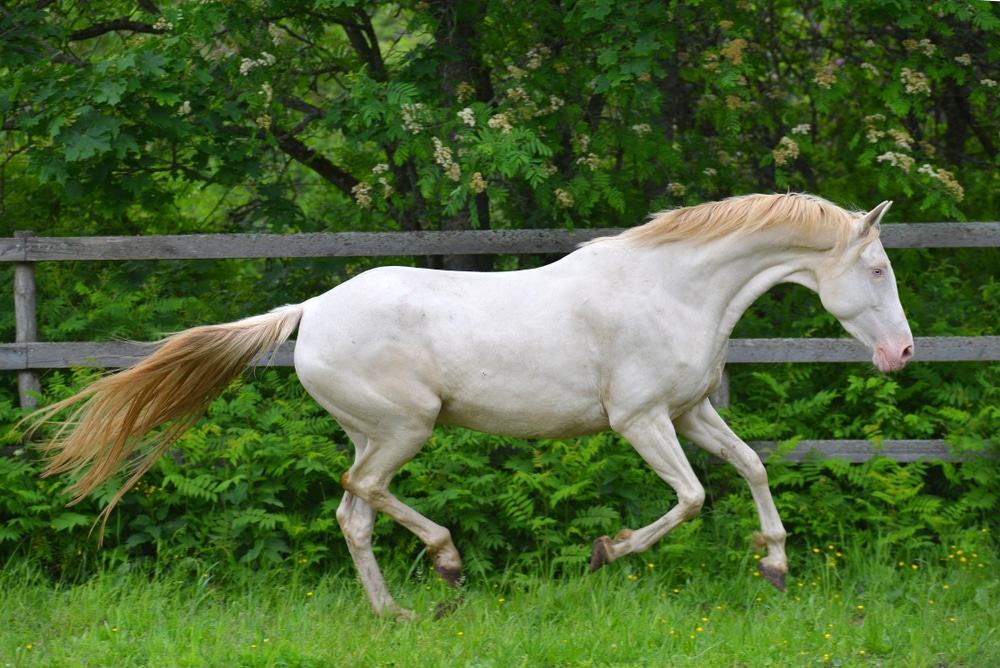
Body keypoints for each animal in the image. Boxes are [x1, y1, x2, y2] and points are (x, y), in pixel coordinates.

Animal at [23, 193, 916, 620]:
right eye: (876, 269)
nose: (903, 354)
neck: (670, 289)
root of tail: (312, 309)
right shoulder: (640, 421)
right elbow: (693, 497)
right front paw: (605, 552)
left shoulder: (692, 411)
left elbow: (754, 467)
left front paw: (774, 567)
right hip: (403, 427)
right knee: (362, 494)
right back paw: (447, 563)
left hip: (372, 433)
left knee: (353, 514)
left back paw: (398, 614)